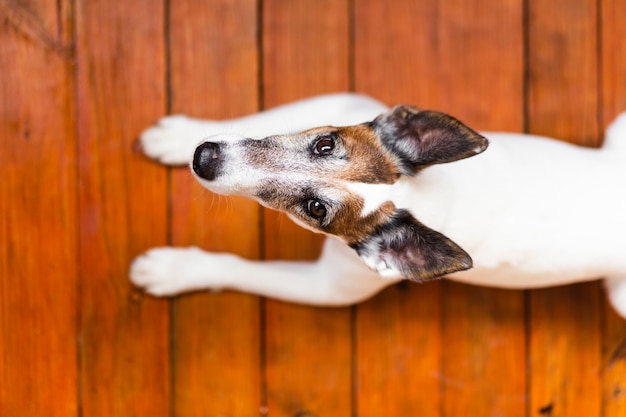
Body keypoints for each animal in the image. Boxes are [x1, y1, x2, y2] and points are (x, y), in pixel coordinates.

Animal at [129, 92, 624, 316]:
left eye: (316, 209)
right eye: (325, 144)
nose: (204, 158)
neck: (433, 193)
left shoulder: (331, 286)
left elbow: (236, 268)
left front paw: (176, 270)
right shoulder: (343, 102)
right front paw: (178, 136)